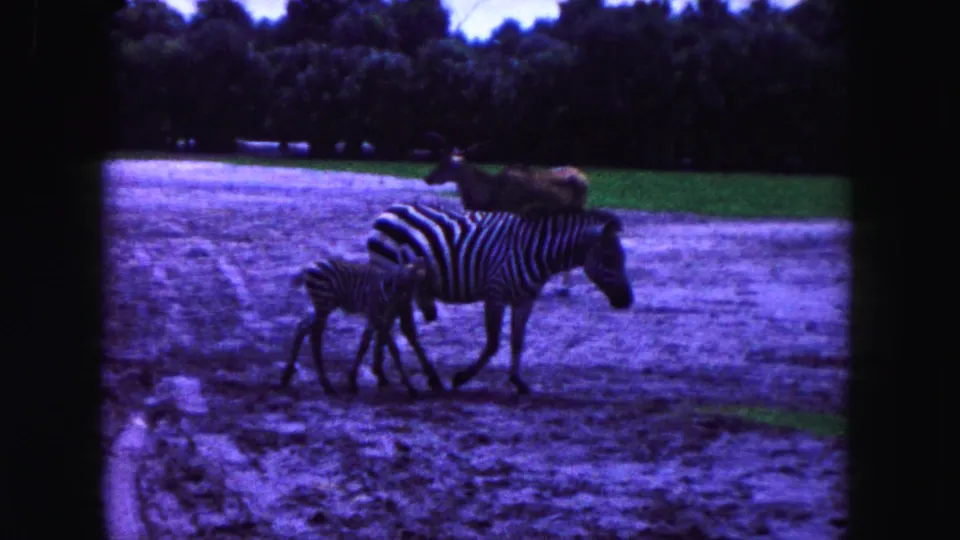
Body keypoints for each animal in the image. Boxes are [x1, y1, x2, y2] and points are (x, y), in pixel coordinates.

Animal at [281, 247, 429, 398]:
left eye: (419, 282)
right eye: (405, 277)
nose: (402, 302)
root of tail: (310, 266)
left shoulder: (375, 317)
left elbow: (365, 343)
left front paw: (353, 381)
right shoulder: (377, 316)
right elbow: (393, 349)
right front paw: (410, 387)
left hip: (321, 306)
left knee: (302, 327)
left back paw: (287, 376)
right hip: (324, 303)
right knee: (315, 338)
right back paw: (326, 386)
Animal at [366, 203, 634, 395]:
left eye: (621, 259)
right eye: (609, 260)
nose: (627, 301)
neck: (536, 253)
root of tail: (388, 211)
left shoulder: (525, 299)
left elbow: (517, 340)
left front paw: (518, 382)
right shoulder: (495, 293)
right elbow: (494, 342)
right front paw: (461, 378)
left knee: (384, 323)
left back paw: (381, 373)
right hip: (395, 277)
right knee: (400, 327)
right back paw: (429, 378)